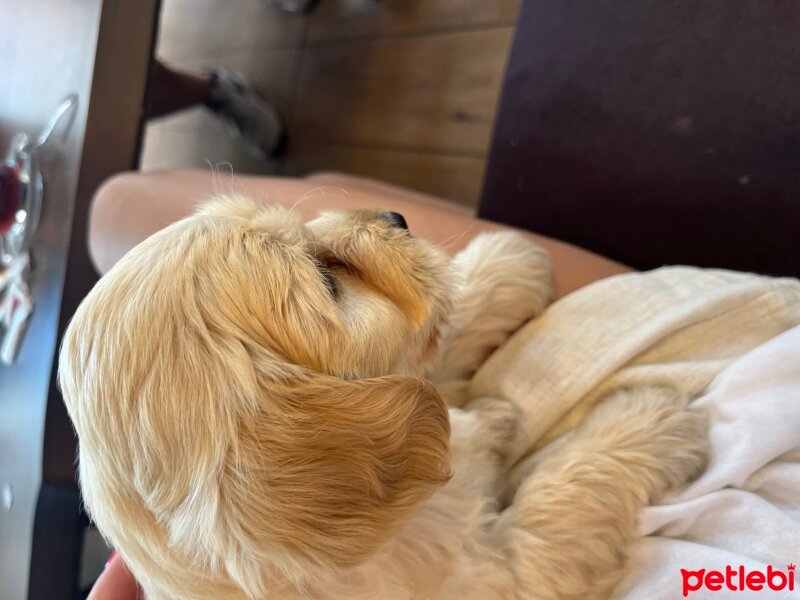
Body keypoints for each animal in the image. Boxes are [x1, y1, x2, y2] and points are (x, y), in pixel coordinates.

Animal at [61, 197, 708, 600]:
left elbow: (437, 348)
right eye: (328, 285)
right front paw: (647, 420)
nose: (396, 215)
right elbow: (557, 503)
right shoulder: (502, 580)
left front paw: (503, 266)